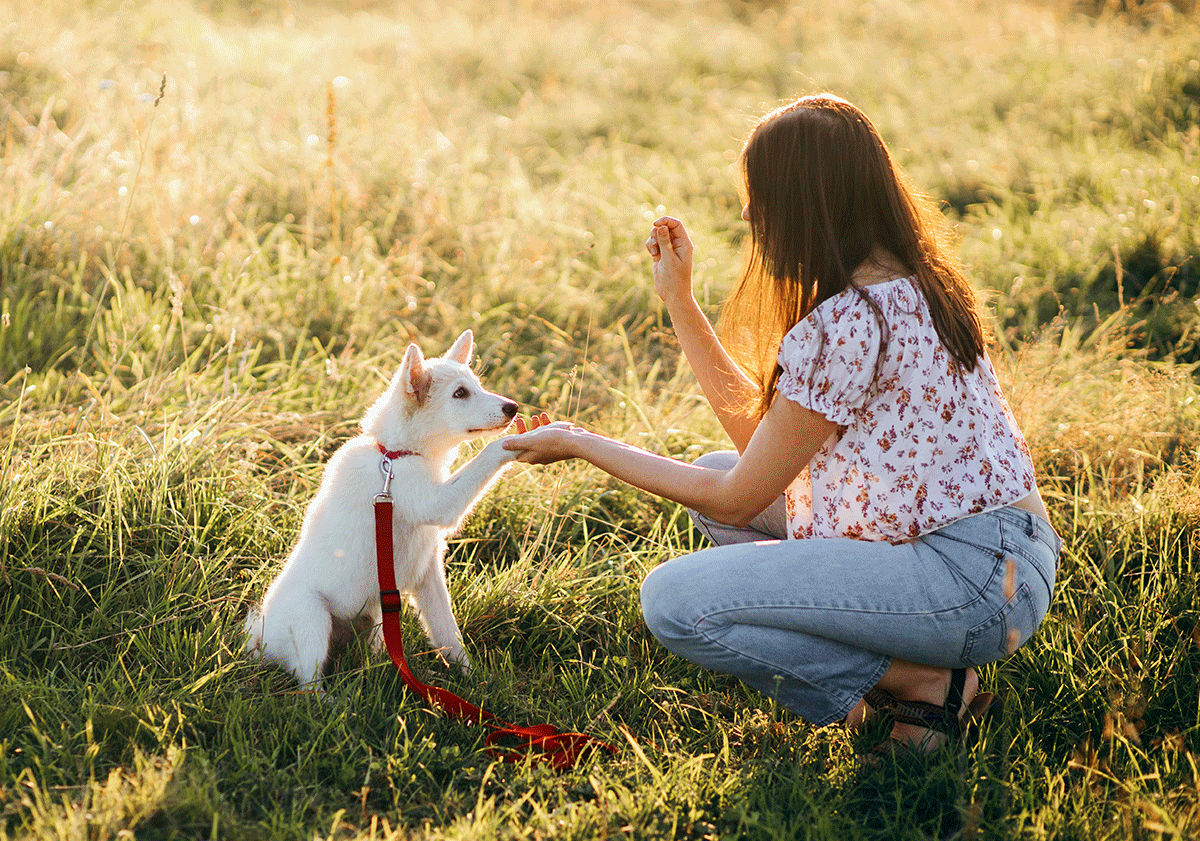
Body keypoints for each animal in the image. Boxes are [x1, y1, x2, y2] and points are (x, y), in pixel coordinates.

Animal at [246, 328, 518, 691]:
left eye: (477, 385)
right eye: (460, 394)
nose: (513, 407)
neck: (394, 455)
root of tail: (259, 640)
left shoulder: (428, 573)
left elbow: (448, 633)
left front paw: (473, 680)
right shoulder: (438, 503)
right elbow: (488, 455)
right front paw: (535, 437)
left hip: (373, 617)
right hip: (312, 617)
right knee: (308, 683)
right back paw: (333, 699)